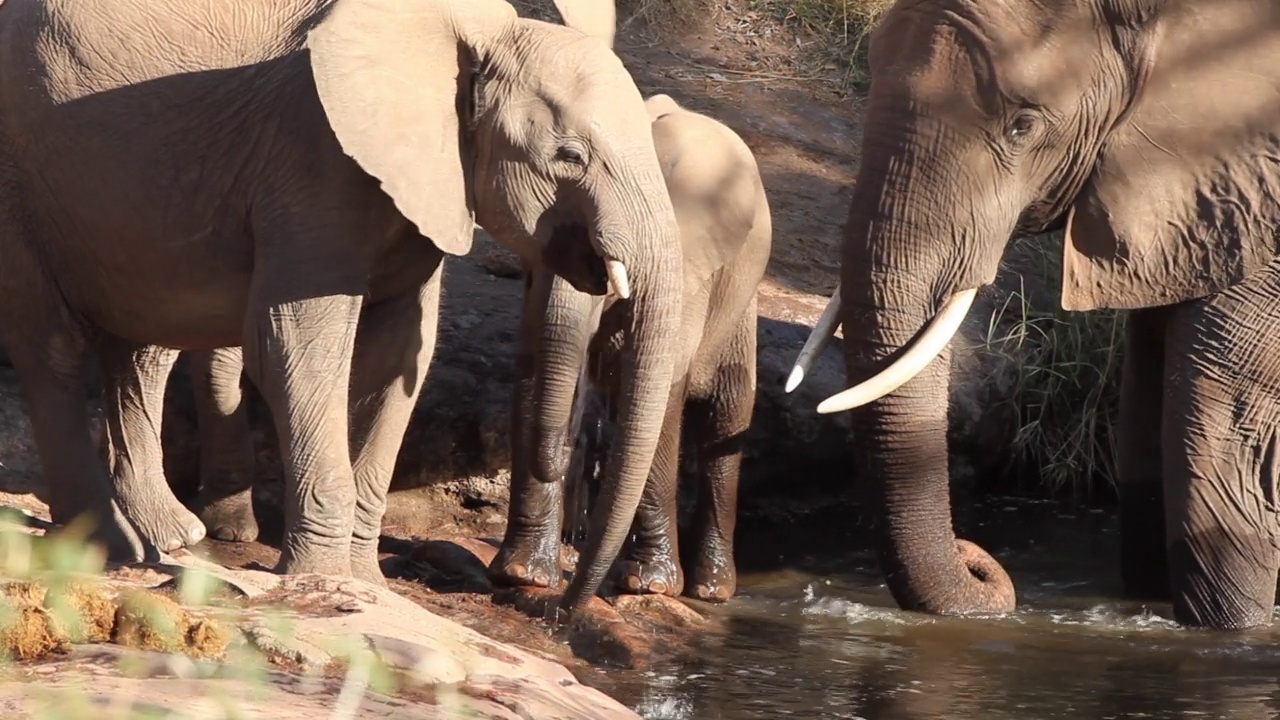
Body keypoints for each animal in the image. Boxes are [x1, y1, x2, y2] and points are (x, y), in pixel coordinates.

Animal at [0, 0, 691, 589]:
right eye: (569, 156)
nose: (566, 601)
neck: (477, 32)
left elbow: (399, 355)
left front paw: (365, 585)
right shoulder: (312, 161)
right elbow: (291, 343)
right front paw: (321, 581)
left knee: (141, 351)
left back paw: (165, 537)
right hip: (20, 174)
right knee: (55, 345)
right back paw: (108, 547)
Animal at [488, 90, 768, 604]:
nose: (563, 605)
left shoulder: (685, 267)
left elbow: (660, 392)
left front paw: (648, 585)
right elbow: (534, 370)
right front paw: (523, 574)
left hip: (742, 297)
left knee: (726, 416)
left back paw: (710, 590)